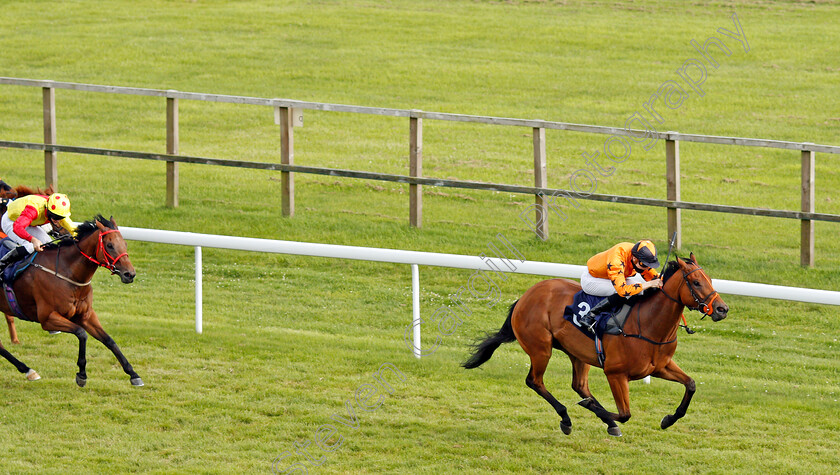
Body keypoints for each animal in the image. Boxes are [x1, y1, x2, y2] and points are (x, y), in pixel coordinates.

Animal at [0, 215, 143, 386]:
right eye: (109, 245)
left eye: (125, 244)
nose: (130, 274)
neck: (68, 273)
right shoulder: (48, 319)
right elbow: (81, 333)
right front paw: (82, 374)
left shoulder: (86, 315)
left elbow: (109, 340)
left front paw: (133, 374)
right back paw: (28, 370)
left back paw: (28, 370)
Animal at [462, 255, 724, 436]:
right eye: (696, 282)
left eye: (710, 280)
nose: (723, 309)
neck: (648, 323)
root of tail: (525, 296)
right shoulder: (615, 373)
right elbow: (625, 414)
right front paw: (596, 410)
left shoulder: (659, 367)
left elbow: (691, 385)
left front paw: (668, 419)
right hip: (540, 349)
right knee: (535, 381)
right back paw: (567, 418)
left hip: (577, 353)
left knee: (579, 385)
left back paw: (602, 420)